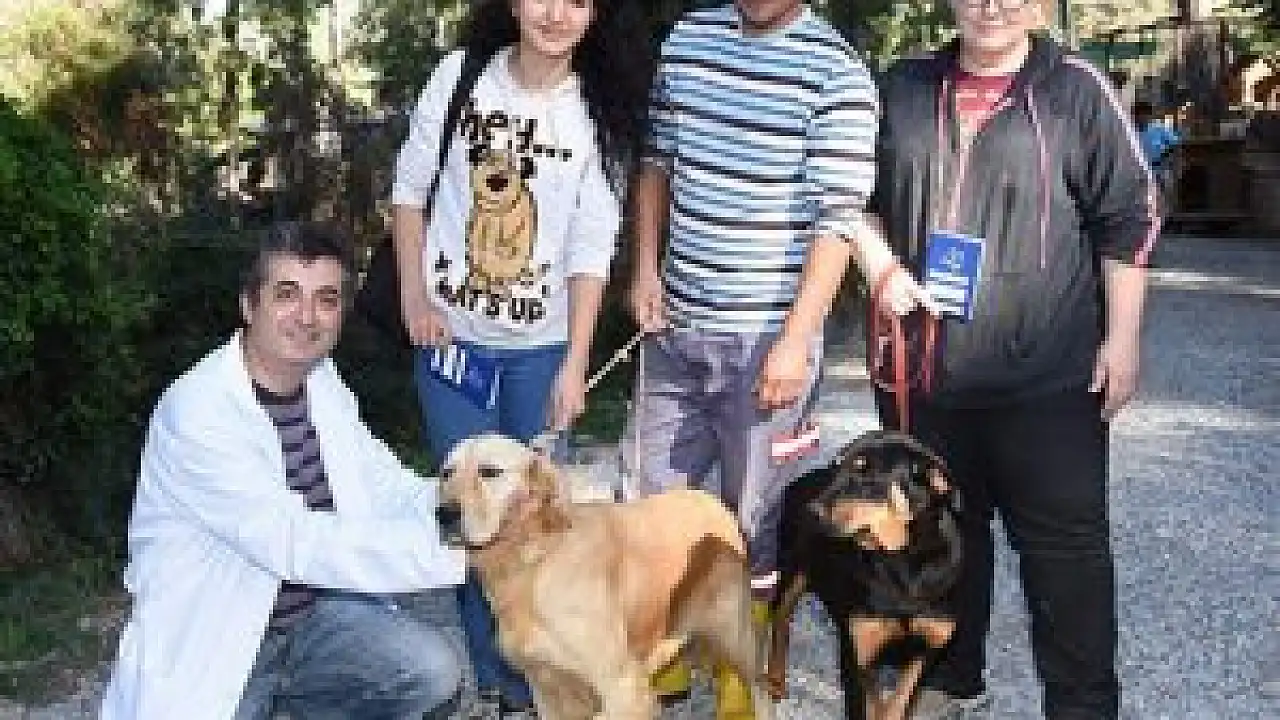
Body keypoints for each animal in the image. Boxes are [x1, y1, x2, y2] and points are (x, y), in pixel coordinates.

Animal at [436, 434, 772, 720]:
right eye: (446, 473)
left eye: (490, 472)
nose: (444, 514)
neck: (535, 559)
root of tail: (710, 497)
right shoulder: (545, 688)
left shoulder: (623, 689)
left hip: (736, 634)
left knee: (761, 687)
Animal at [765, 430, 962, 720]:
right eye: (836, 468)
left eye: (865, 473)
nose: (809, 512)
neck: (901, 562)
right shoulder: (857, 654)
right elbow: (864, 704)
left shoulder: (927, 650)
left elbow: (898, 703)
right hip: (790, 571)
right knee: (780, 621)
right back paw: (775, 680)